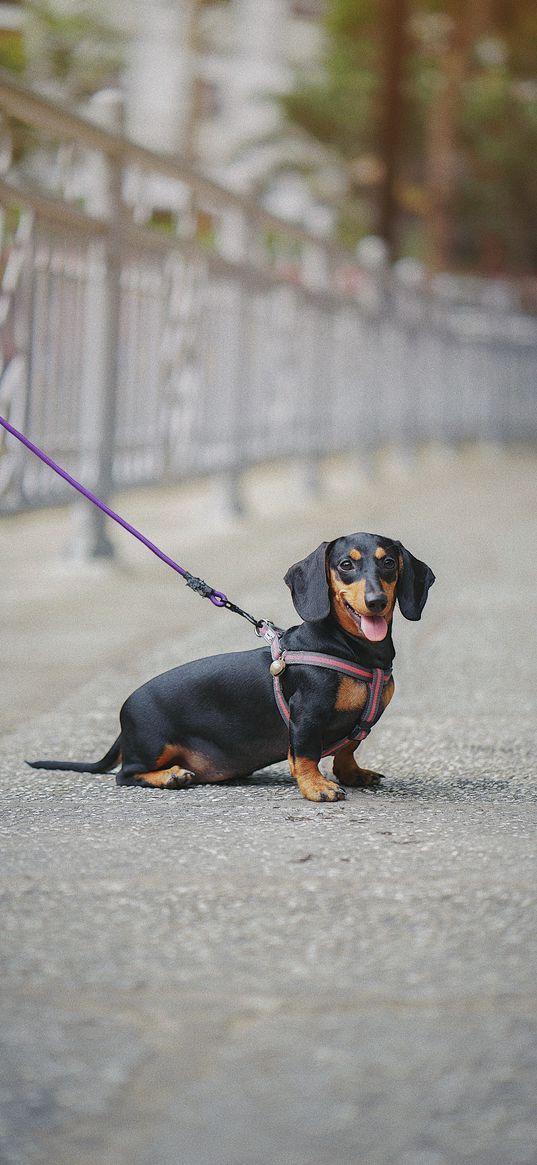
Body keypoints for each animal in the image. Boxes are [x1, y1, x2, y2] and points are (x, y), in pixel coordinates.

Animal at [28, 533, 430, 801]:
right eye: (346, 564)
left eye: (389, 563)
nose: (376, 601)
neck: (353, 649)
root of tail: (124, 719)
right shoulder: (307, 716)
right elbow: (306, 755)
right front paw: (316, 787)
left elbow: (348, 748)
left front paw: (352, 774)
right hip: (153, 743)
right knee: (125, 774)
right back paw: (170, 776)